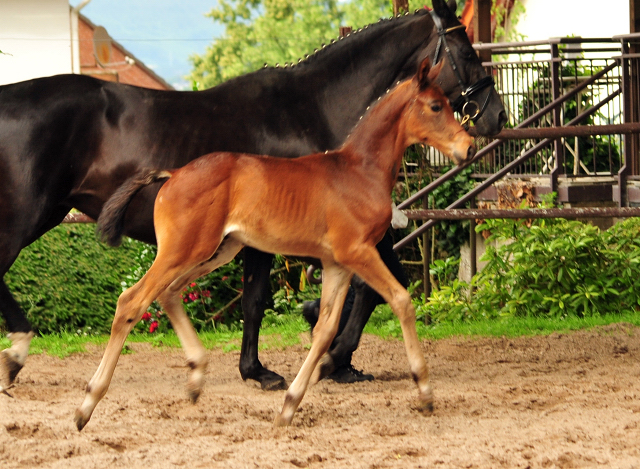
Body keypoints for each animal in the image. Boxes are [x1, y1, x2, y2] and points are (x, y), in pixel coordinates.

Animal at [76, 57, 476, 428]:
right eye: (436, 106)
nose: (469, 147)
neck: (359, 170)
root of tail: (173, 174)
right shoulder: (358, 253)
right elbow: (401, 300)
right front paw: (424, 391)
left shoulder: (337, 263)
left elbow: (325, 329)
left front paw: (290, 403)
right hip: (183, 250)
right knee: (132, 302)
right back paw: (87, 404)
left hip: (218, 250)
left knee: (170, 294)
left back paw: (196, 377)